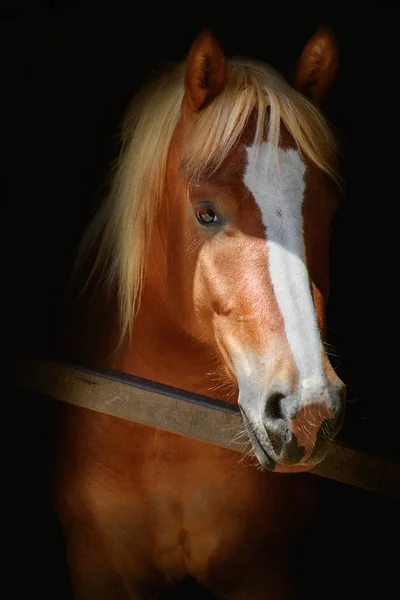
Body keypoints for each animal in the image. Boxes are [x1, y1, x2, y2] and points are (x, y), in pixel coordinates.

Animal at [52, 24, 346, 600]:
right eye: (206, 213)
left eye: (327, 212)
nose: (307, 414)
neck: (168, 423)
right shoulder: (98, 564)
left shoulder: (263, 569)